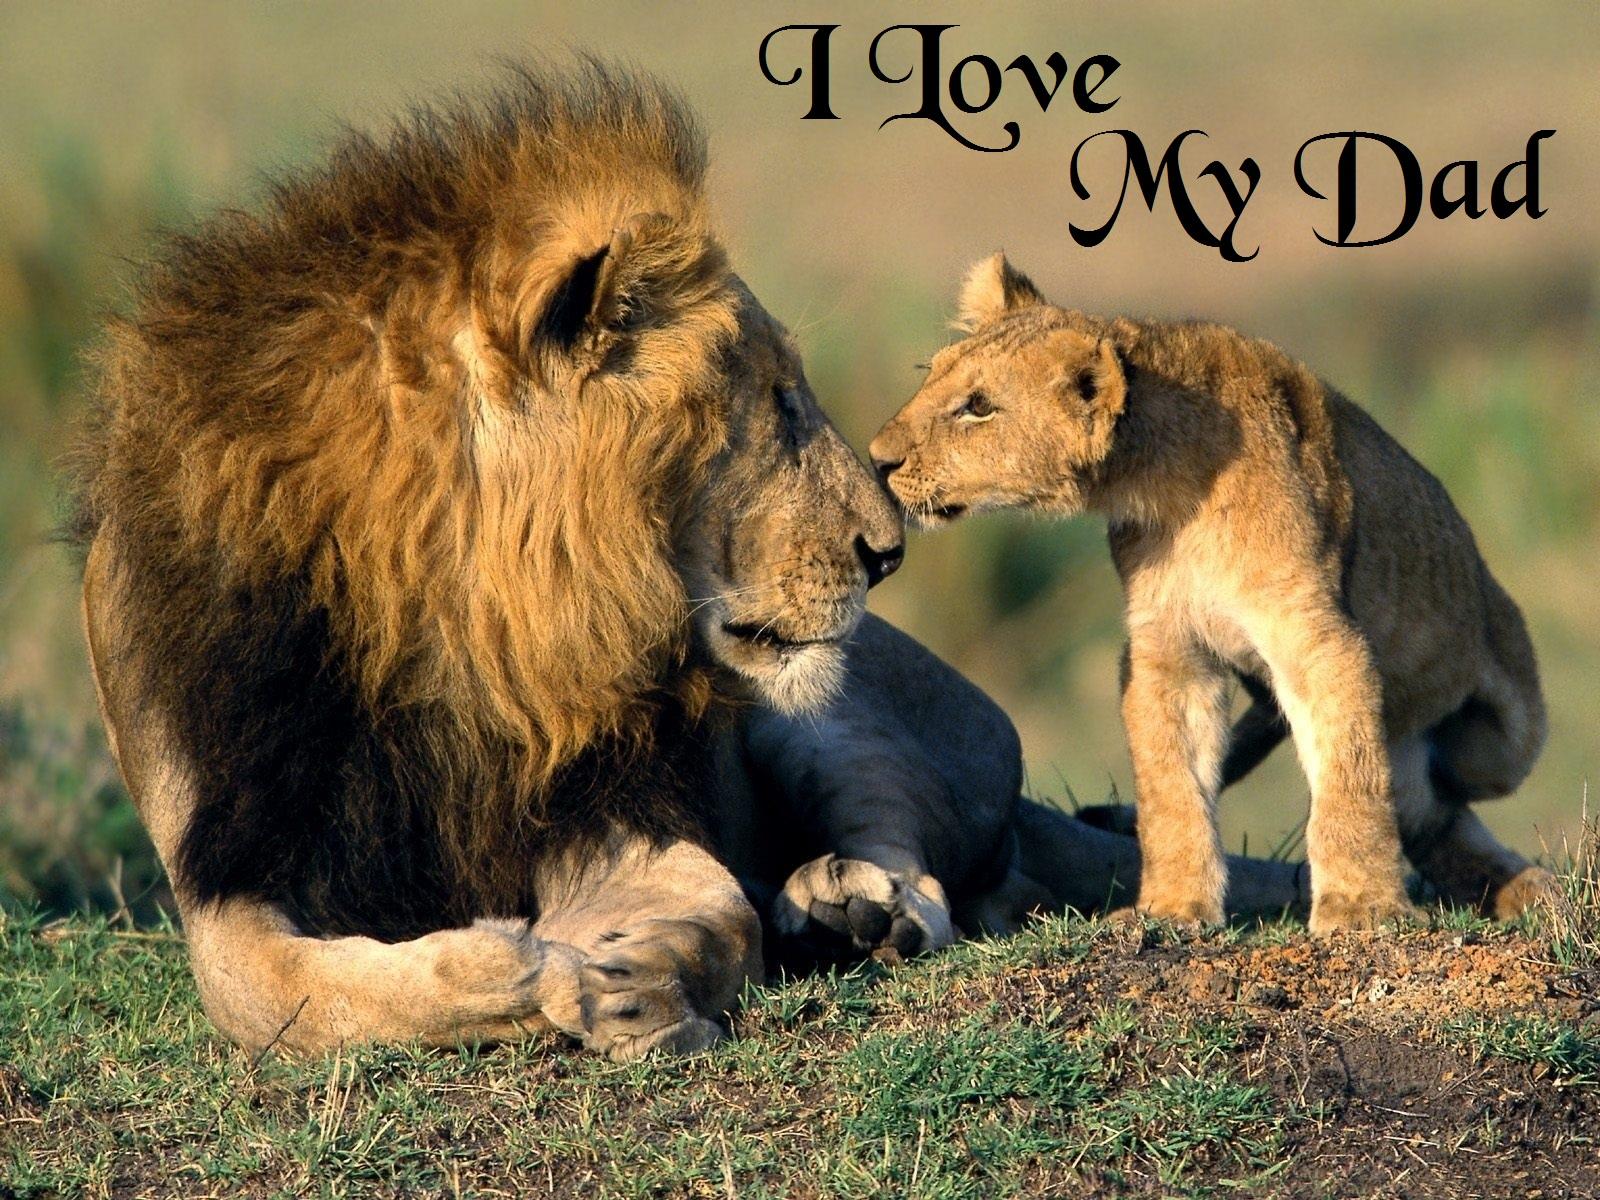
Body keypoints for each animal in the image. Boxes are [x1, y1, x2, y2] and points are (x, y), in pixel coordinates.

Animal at [70, 68, 1310, 1060]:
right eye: (775, 403)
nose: (888, 552)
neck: (453, 633)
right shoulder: (224, 859)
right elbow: (264, 991)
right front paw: (505, 969)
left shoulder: (620, 802)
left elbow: (709, 908)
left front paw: (623, 974)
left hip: (831, 708)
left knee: (928, 867)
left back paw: (854, 909)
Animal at [869, 253, 1555, 934]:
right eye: (930, 377)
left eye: (978, 407)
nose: (877, 460)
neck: (1168, 488)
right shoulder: (1168, 651)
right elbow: (1172, 788)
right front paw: (1173, 907)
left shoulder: (1319, 639)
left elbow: (1350, 777)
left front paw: (1361, 906)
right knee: (1425, 813)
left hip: (1503, 740)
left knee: (1440, 796)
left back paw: (1529, 887)